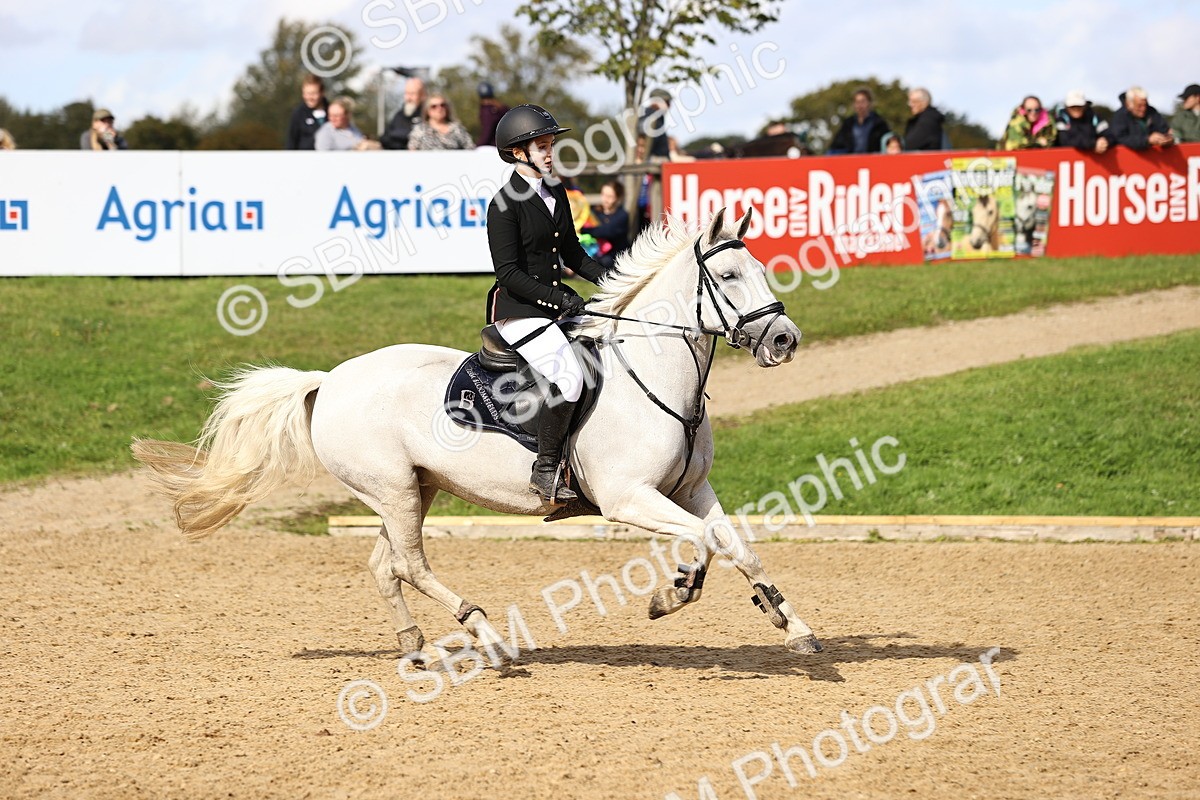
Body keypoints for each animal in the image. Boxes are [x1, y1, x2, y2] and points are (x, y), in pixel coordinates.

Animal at [132, 207, 824, 664]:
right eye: (728, 277)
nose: (785, 340)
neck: (652, 372)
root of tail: (329, 380)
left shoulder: (691, 490)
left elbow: (737, 545)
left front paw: (790, 624)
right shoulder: (629, 498)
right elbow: (708, 541)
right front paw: (671, 596)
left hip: (412, 490)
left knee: (385, 564)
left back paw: (414, 645)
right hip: (393, 490)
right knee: (409, 562)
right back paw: (488, 636)